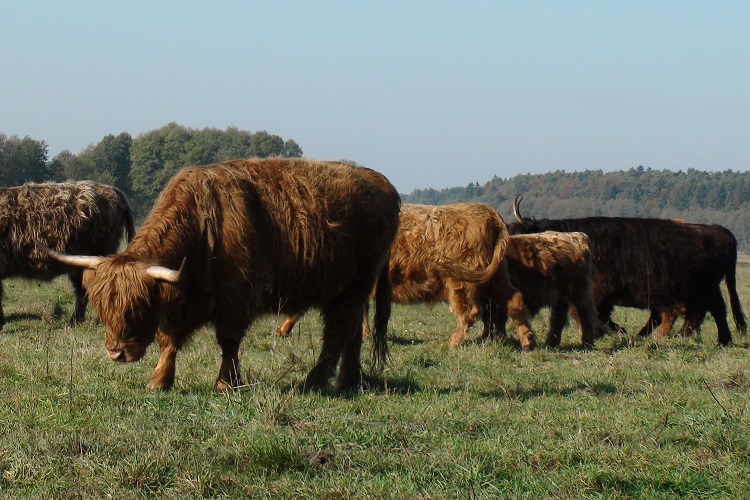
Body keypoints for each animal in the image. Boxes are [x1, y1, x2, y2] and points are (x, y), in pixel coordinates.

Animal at [42, 158, 400, 392]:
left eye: (137, 307)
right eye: (103, 309)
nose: (116, 353)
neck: (200, 228)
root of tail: (381, 182)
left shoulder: (236, 298)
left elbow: (228, 343)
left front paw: (226, 383)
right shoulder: (185, 299)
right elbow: (168, 341)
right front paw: (160, 380)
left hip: (354, 286)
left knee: (337, 335)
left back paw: (314, 381)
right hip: (348, 292)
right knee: (352, 333)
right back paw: (348, 381)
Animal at [280, 201, 536, 350]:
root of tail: (490, 213)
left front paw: (282, 329)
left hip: (460, 280)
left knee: (470, 313)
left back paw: (450, 344)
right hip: (493, 277)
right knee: (514, 300)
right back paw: (528, 339)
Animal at [512, 197, 748, 346]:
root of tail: (718, 230)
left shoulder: (594, 294)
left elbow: (591, 316)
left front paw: (612, 333)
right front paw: (616, 332)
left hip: (699, 290)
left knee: (696, 314)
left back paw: (676, 336)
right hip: (707, 289)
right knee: (716, 309)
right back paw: (722, 339)